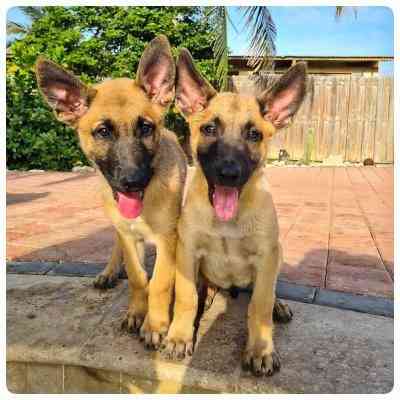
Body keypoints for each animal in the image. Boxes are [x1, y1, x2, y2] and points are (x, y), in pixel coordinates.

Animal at [34, 35, 188, 346]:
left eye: (145, 128)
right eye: (103, 132)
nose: (132, 182)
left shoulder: (168, 239)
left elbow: (159, 282)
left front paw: (155, 325)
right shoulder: (129, 236)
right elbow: (138, 278)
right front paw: (136, 312)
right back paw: (108, 272)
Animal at [164, 48, 308, 376]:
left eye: (254, 134)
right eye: (209, 129)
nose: (228, 174)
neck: (226, 222)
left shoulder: (267, 256)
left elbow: (259, 305)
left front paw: (260, 349)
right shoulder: (187, 251)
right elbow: (186, 297)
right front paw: (179, 337)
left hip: (275, 259)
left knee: (267, 291)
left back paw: (278, 305)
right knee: (203, 288)